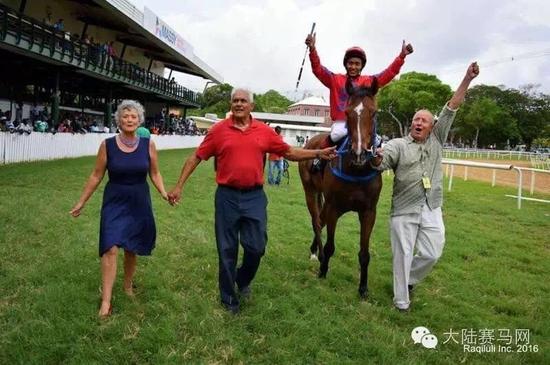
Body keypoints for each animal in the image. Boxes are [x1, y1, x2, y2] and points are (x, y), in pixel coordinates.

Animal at [298, 78, 384, 298]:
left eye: (374, 112)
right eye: (347, 113)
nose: (359, 153)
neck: (357, 171)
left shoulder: (369, 212)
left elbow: (364, 253)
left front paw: (363, 288)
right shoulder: (334, 208)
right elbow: (330, 246)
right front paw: (323, 271)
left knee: (319, 221)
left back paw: (314, 251)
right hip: (310, 192)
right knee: (316, 221)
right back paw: (318, 255)